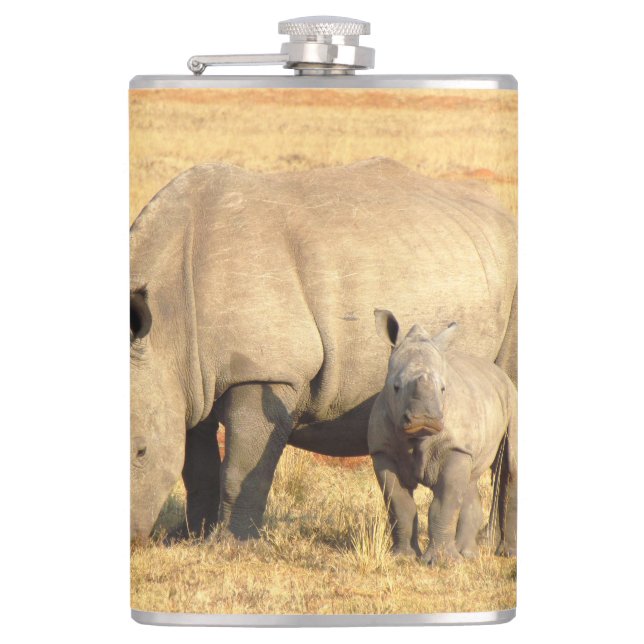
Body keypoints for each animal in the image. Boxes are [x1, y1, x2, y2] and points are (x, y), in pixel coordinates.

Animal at [368, 310, 517, 564]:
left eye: (443, 389)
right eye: (395, 387)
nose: (424, 418)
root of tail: (499, 373)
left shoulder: (454, 447)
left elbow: (444, 504)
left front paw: (441, 563)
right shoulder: (383, 451)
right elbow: (400, 505)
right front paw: (403, 558)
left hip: (513, 398)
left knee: (510, 468)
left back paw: (507, 554)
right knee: (470, 482)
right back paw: (468, 555)